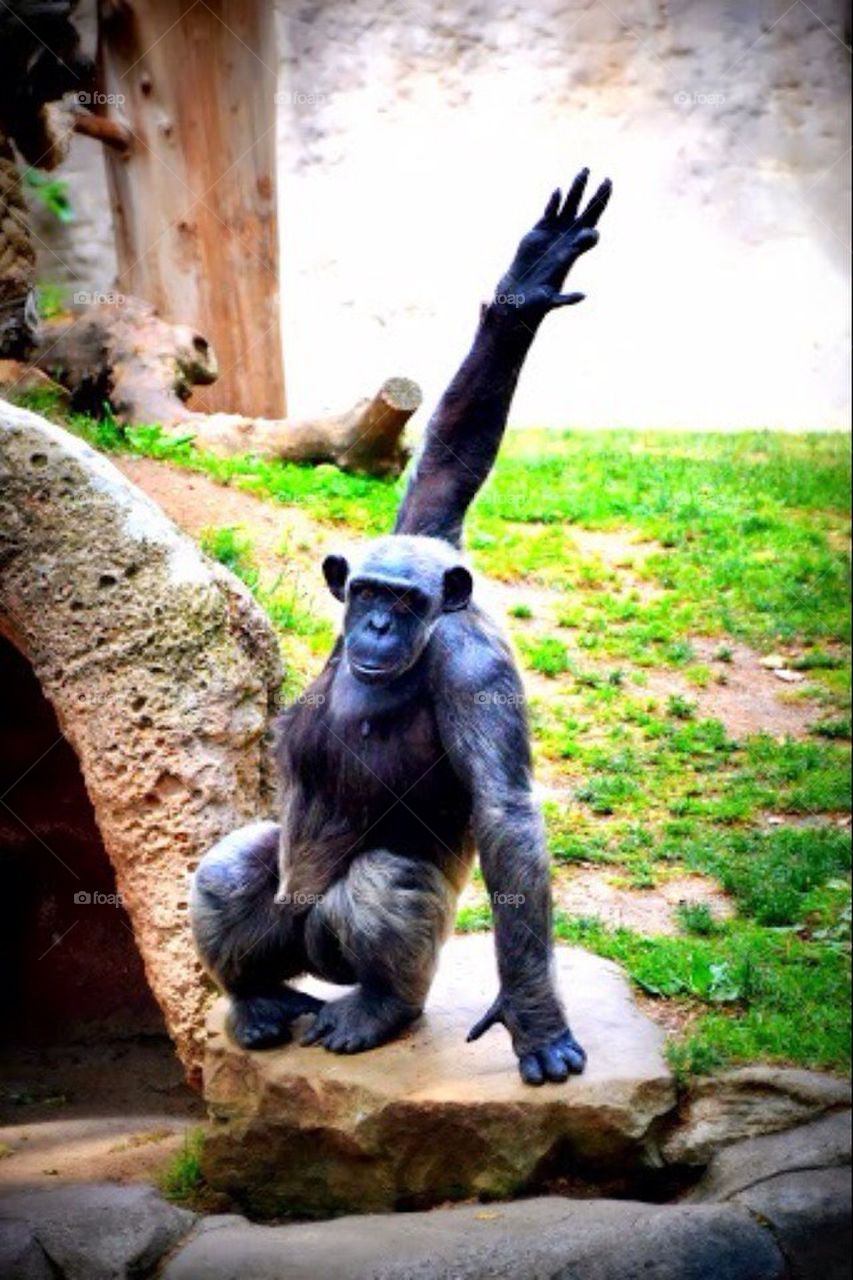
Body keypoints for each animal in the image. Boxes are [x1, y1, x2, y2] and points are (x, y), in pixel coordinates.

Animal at [191, 168, 612, 1085]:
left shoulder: (474, 668)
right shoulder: (426, 527)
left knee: (385, 889)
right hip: (285, 920)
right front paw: (527, 283)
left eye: (411, 605)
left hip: (389, 952)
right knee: (228, 869)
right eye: (367, 592)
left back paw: (373, 1010)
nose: (380, 626)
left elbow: (506, 817)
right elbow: (448, 459)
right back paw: (258, 1001)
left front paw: (534, 1017)